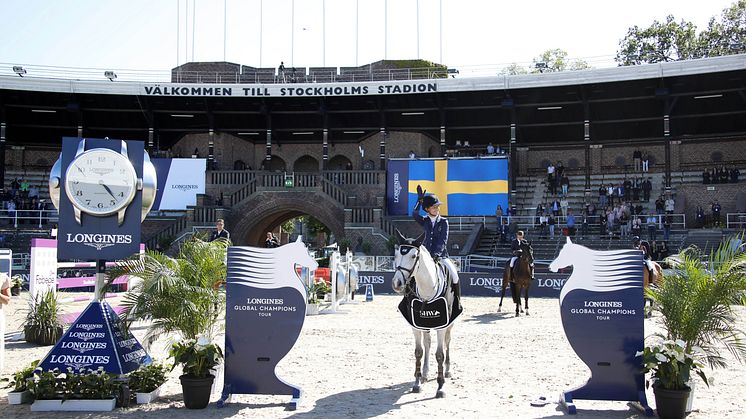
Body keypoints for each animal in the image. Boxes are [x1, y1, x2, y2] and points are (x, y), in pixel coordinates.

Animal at [390, 231, 454, 398]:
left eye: (413, 256)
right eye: (396, 255)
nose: (397, 283)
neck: (427, 289)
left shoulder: (442, 325)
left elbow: (440, 354)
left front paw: (440, 387)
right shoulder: (416, 325)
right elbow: (419, 352)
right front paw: (417, 383)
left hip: (450, 323)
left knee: (447, 342)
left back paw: (447, 370)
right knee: (427, 342)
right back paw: (424, 374)